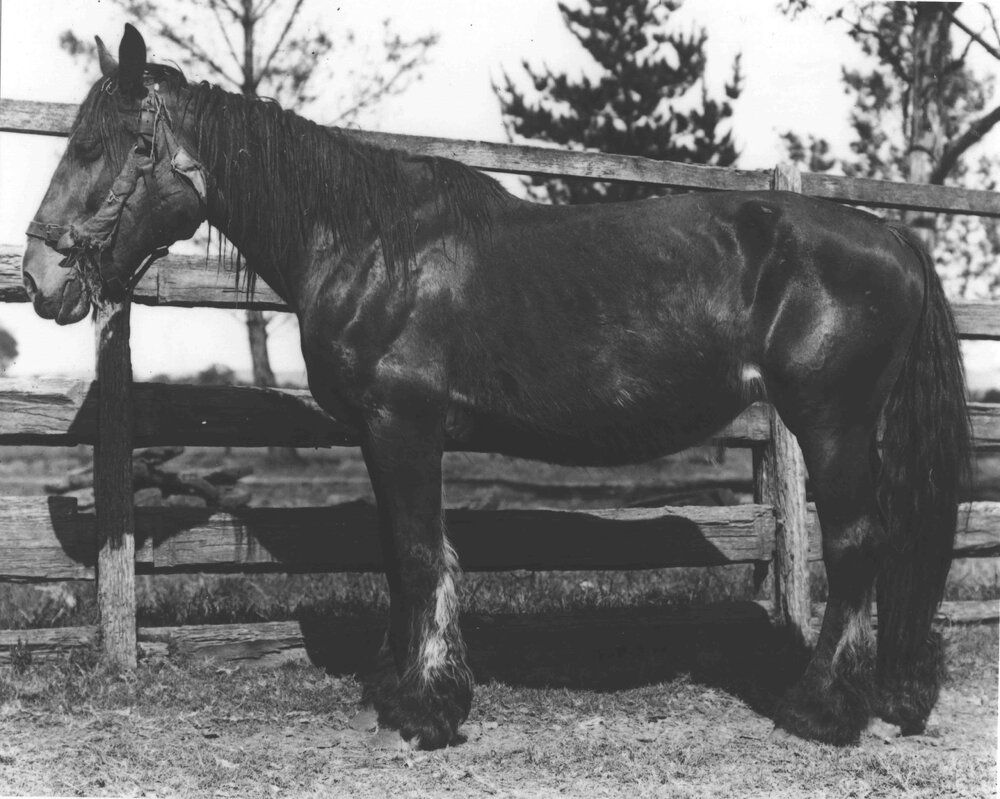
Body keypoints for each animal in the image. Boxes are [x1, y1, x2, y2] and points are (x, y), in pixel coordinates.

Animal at [22, 25, 970, 749]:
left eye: (100, 147)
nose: (39, 276)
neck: (372, 243)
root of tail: (893, 238)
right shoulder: (382, 434)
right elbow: (399, 554)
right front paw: (400, 688)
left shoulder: (405, 422)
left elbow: (420, 553)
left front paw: (428, 709)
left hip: (830, 421)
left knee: (855, 546)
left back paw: (822, 710)